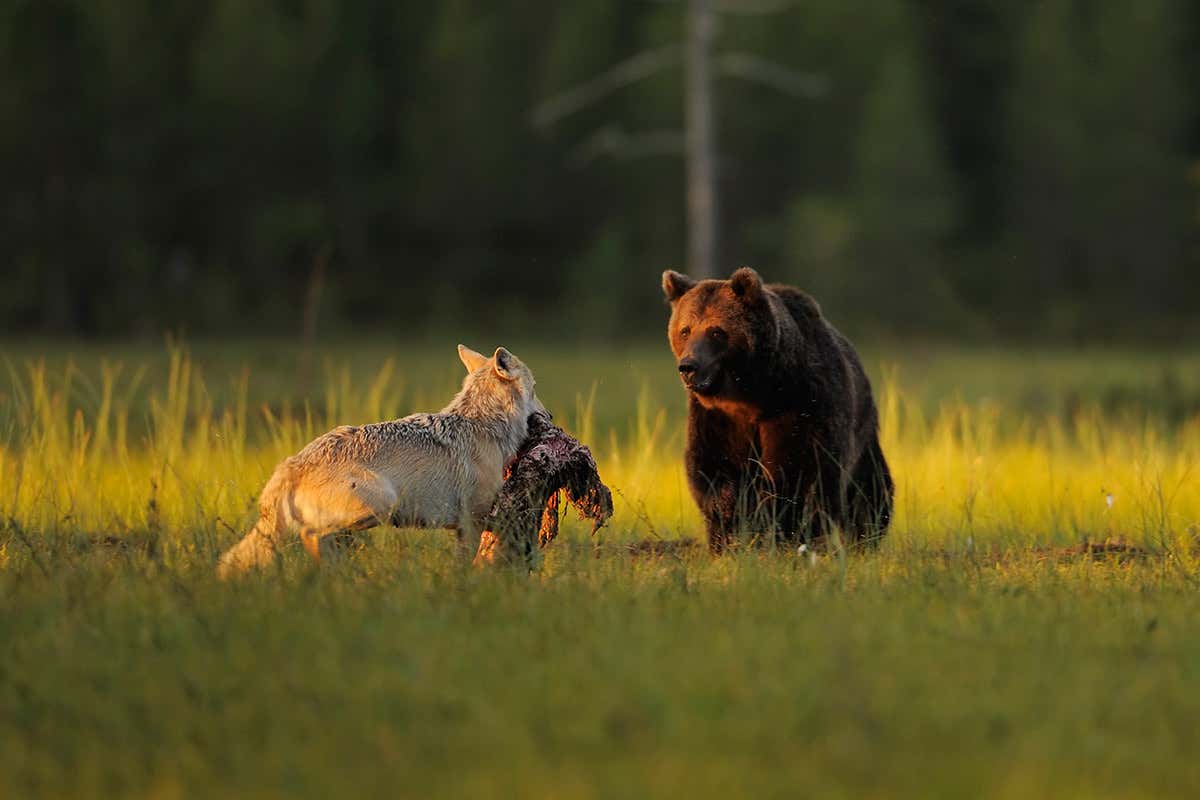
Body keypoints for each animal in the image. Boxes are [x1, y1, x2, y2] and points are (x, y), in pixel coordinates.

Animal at [216, 345, 543, 578]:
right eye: (536, 389)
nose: (549, 415)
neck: (484, 425)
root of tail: (292, 464)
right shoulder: (471, 522)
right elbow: (467, 568)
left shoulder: (465, 527)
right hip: (382, 504)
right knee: (311, 535)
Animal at [662, 266, 893, 552]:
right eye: (685, 330)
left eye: (716, 331)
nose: (689, 366)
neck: (753, 393)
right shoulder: (717, 417)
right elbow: (711, 465)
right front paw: (731, 518)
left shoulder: (800, 405)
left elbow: (797, 471)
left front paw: (777, 528)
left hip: (862, 429)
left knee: (868, 490)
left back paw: (863, 538)